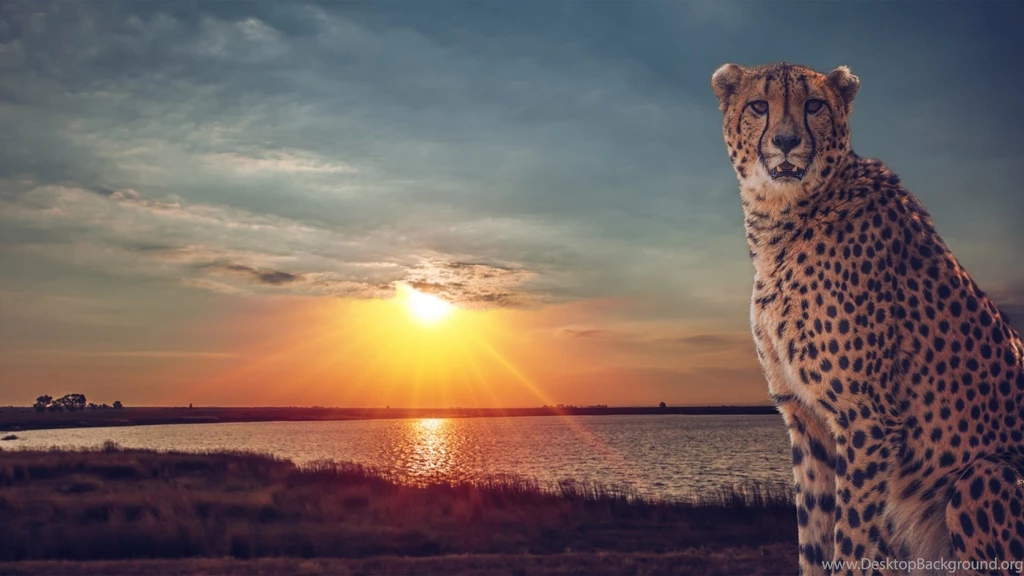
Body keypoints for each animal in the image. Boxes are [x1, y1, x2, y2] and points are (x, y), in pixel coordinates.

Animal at [711, 61, 1024, 576]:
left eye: (814, 105)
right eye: (759, 105)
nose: (786, 140)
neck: (783, 219)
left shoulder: (867, 421)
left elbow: (852, 541)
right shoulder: (806, 422)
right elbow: (814, 540)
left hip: (983, 474)